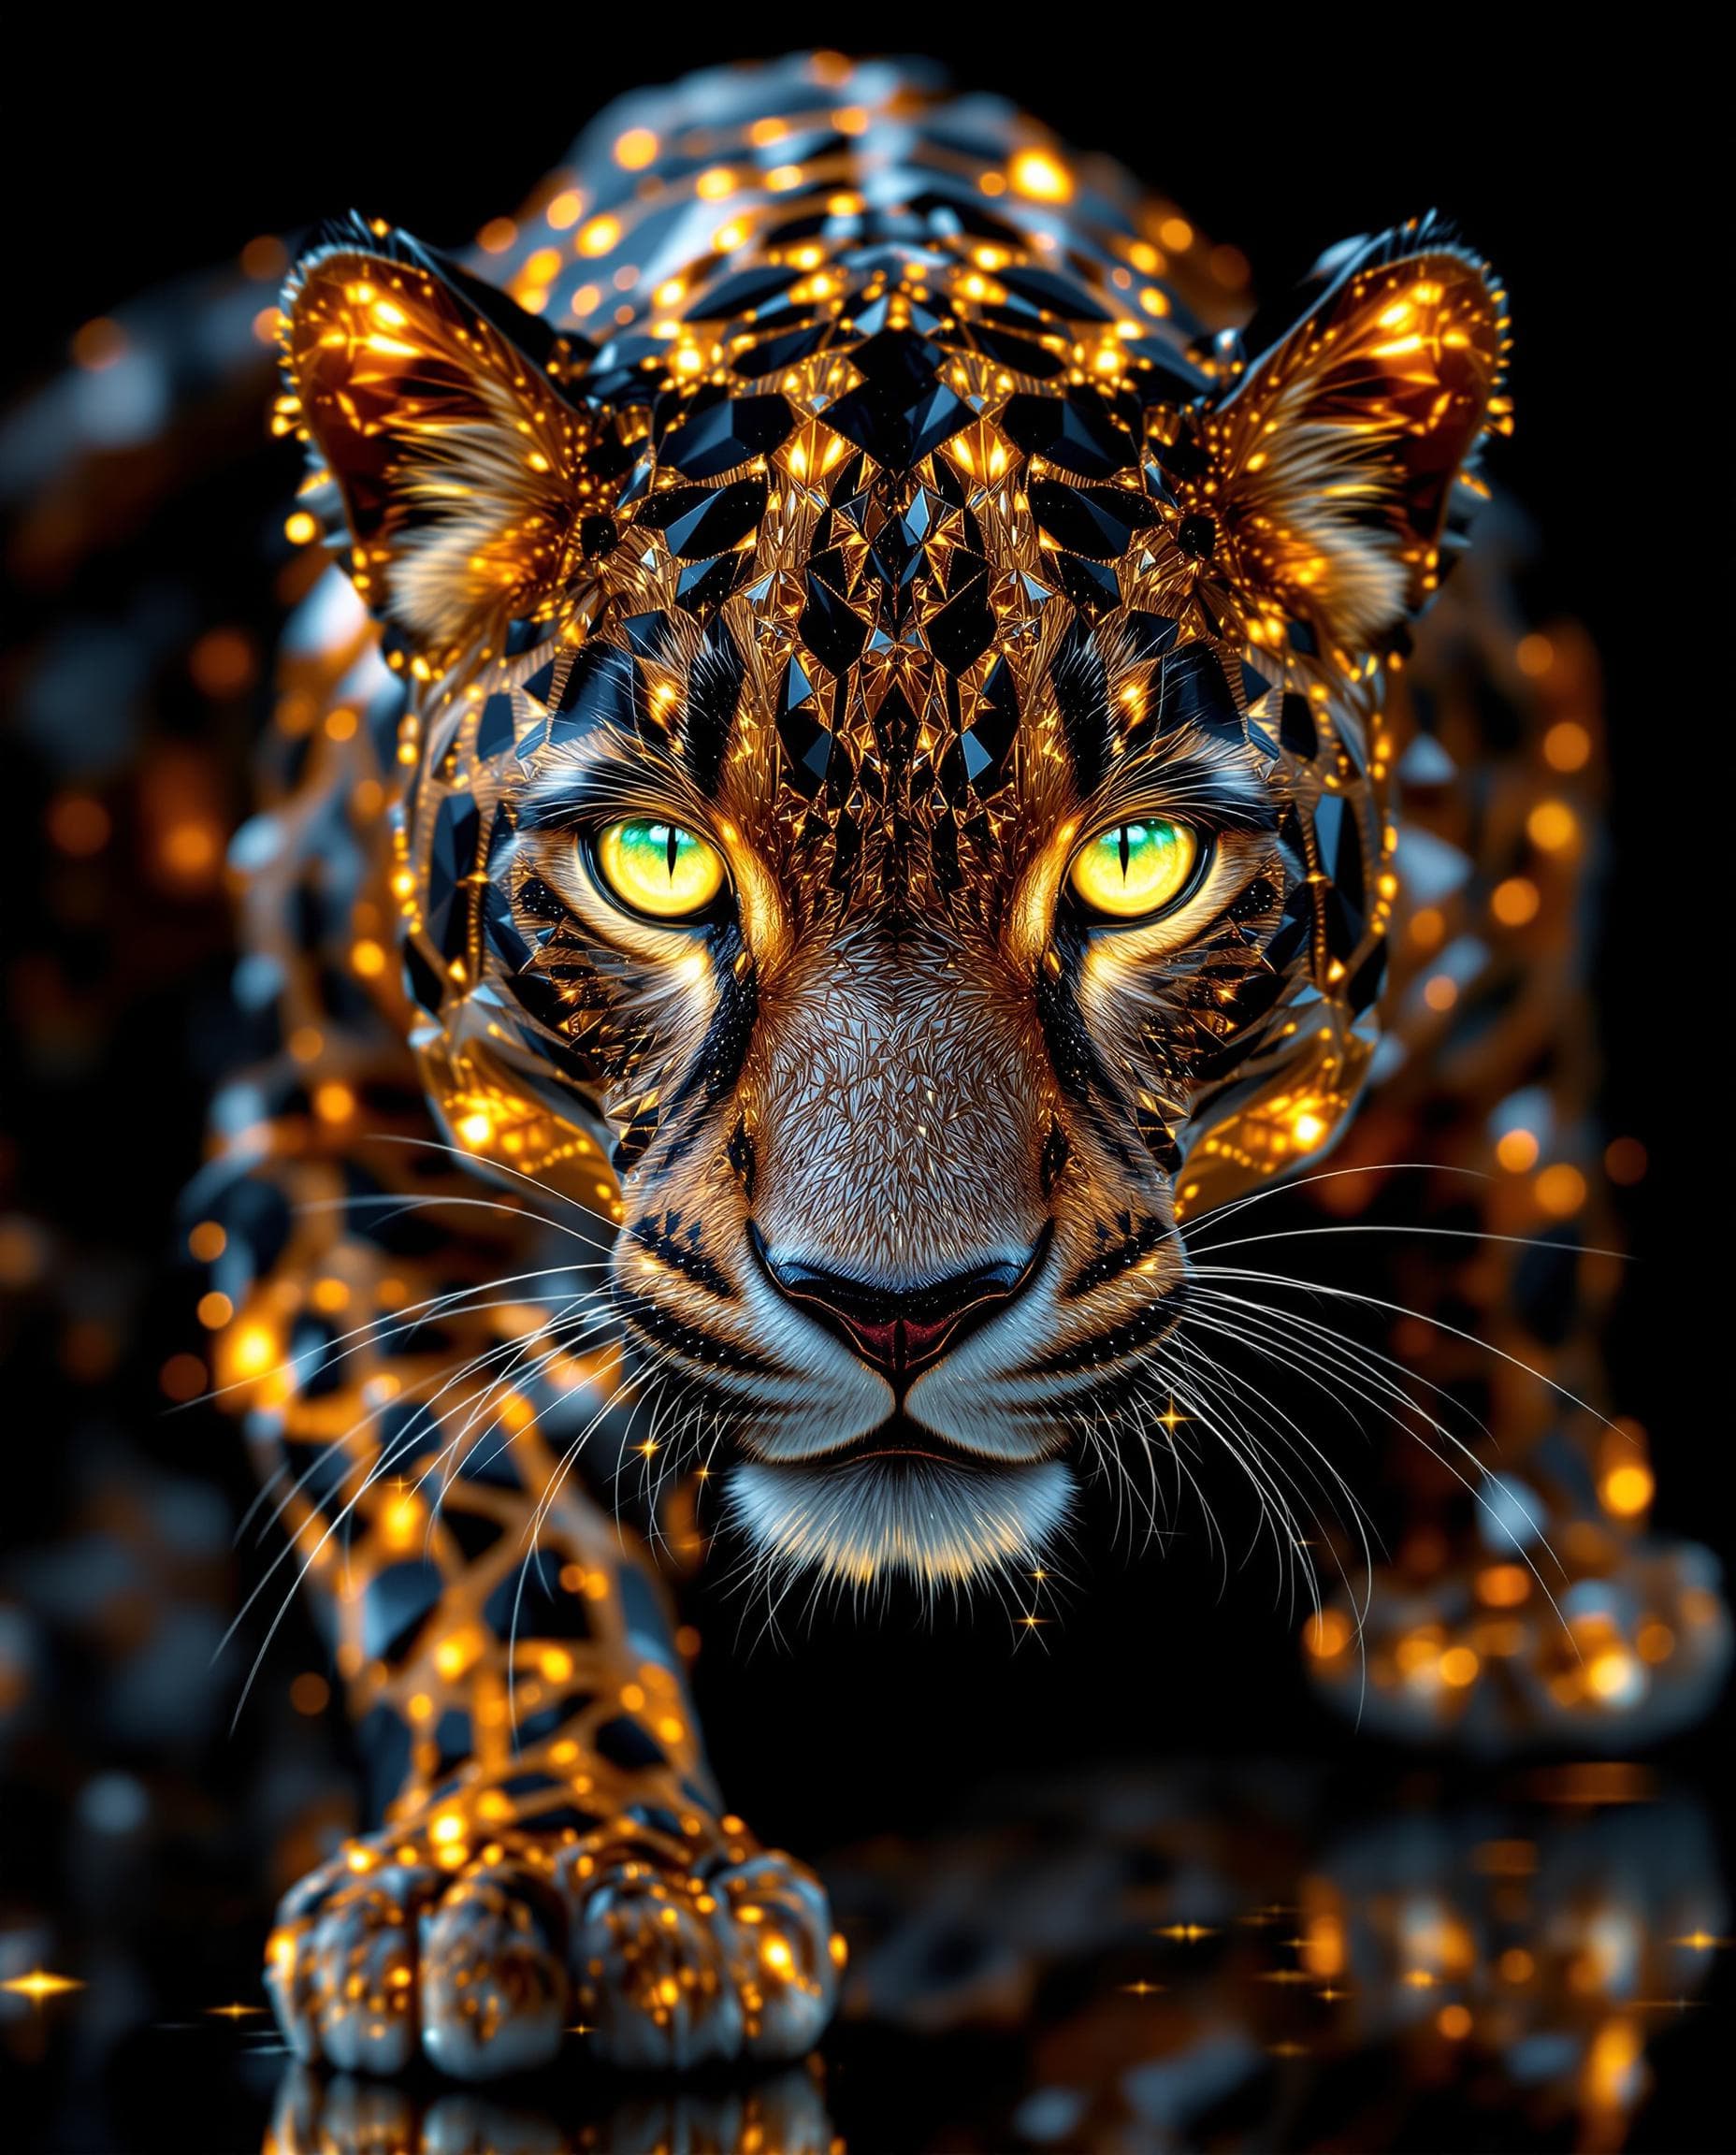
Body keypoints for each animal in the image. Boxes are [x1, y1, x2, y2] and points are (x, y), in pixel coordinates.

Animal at [181, 52, 1726, 2082]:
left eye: (1138, 865)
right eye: (654, 863)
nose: (896, 1307)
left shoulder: (1522, 786)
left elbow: (1519, 1187)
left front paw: (1537, 1588)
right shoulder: (317, 1126)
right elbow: (462, 1506)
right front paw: (549, 1865)